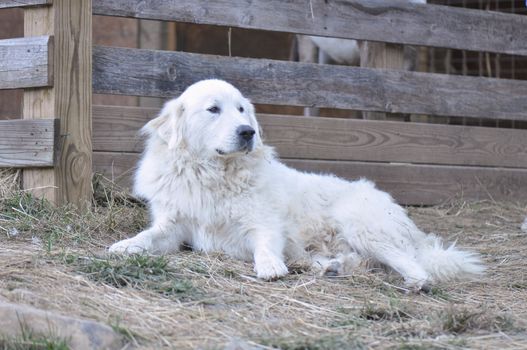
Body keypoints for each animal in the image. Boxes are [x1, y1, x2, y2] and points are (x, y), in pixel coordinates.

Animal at [109, 79, 484, 290]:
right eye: (213, 109)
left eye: (242, 109)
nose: (248, 131)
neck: (212, 174)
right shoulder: (174, 226)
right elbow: (148, 236)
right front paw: (125, 246)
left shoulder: (262, 224)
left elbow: (264, 243)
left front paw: (270, 266)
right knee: (356, 261)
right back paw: (331, 268)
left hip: (362, 225)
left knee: (417, 268)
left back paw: (412, 285)